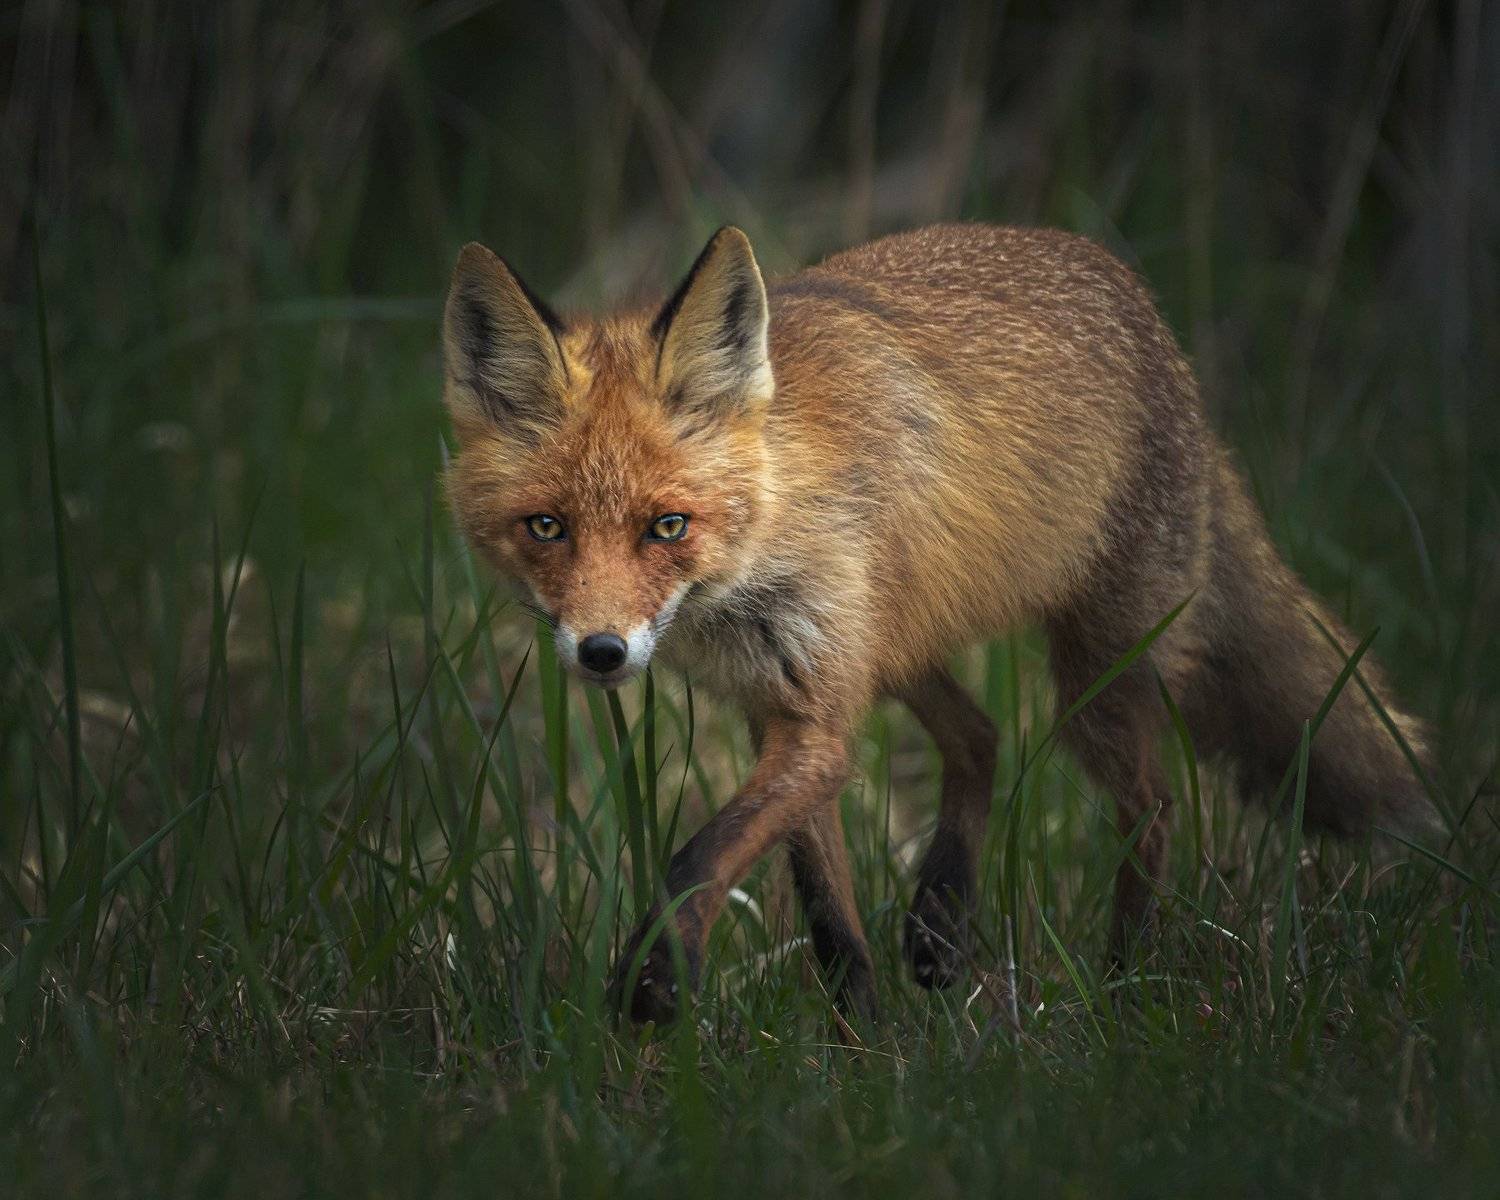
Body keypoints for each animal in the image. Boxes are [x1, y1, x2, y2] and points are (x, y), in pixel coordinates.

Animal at [440, 222, 1436, 1024]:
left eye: (668, 526)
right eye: (547, 527)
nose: (602, 652)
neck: (768, 536)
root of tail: (1150, 317)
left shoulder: (818, 720)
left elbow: (700, 854)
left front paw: (653, 976)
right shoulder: (786, 710)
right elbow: (827, 919)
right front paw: (865, 1049)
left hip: (1091, 686)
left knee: (1151, 809)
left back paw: (1121, 988)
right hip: (905, 647)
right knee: (983, 735)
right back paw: (941, 920)